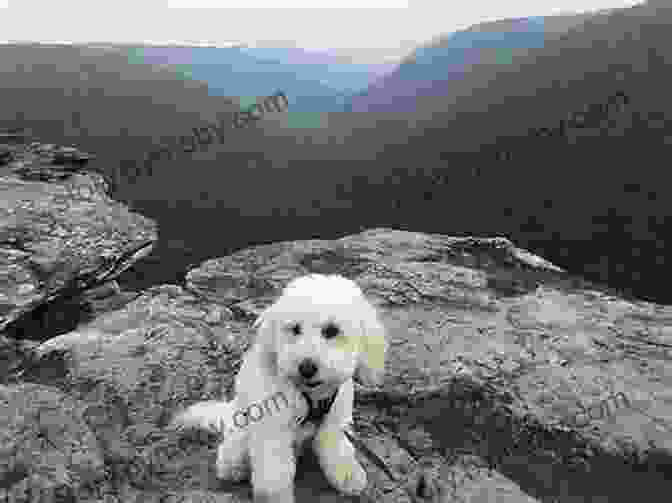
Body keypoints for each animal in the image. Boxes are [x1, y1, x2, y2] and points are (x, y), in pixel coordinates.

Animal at [171, 276, 386, 503]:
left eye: (331, 331)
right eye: (295, 329)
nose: (306, 367)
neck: (309, 395)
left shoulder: (334, 423)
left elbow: (338, 450)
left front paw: (349, 477)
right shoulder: (273, 429)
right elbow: (274, 473)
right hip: (241, 430)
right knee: (233, 450)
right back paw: (233, 467)